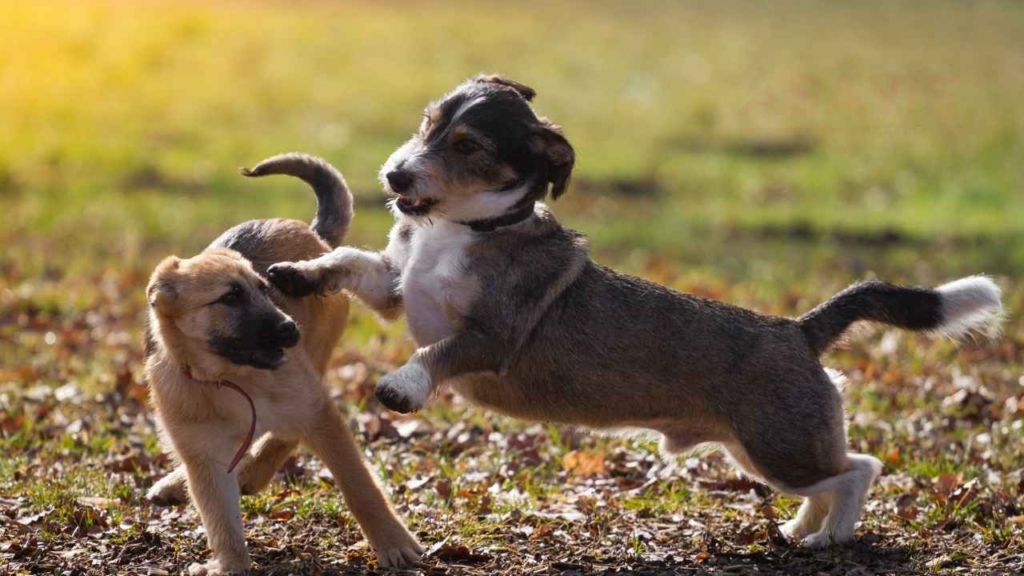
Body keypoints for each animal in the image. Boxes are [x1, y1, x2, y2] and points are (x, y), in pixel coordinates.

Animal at [142, 153, 421, 573]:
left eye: (263, 289)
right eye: (230, 297)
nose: (290, 330)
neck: (229, 377)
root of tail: (313, 234)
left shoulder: (319, 414)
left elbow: (358, 485)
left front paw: (393, 543)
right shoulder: (204, 454)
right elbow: (220, 516)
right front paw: (230, 564)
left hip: (316, 365)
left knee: (285, 434)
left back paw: (252, 471)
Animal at [268, 73, 1003, 545]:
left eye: (468, 145)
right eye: (428, 125)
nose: (396, 176)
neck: (461, 230)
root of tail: (800, 329)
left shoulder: (492, 335)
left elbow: (435, 350)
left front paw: (401, 386)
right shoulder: (395, 290)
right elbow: (351, 262)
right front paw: (297, 273)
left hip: (779, 447)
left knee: (858, 472)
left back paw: (832, 539)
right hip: (761, 452)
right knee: (833, 479)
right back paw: (801, 531)